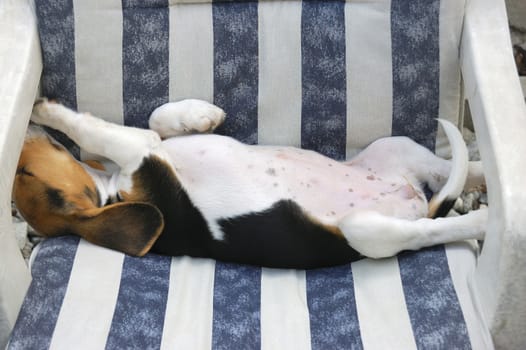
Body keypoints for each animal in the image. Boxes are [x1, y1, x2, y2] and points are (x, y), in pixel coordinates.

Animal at [11, 98, 486, 268]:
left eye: (21, 172)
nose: (20, 132)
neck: (110, 190)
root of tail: (411, 197)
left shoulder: (142, 148)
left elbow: (156, 118)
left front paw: (200, 114)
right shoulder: (139, 151)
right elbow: (97, 131)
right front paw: (45, 108)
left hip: (396, 147)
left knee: (453, 170)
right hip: (368, 230)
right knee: (428, 230)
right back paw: (481, 220)